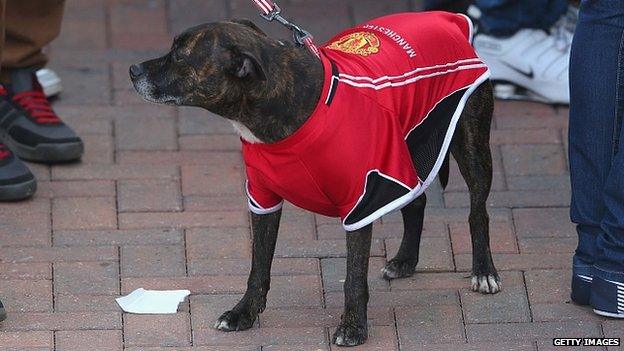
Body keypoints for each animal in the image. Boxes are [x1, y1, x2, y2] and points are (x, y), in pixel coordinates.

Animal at [129, 12, 500, 348]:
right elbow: (258, 267)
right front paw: (243, 313)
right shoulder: (263, 200)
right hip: (407, 152)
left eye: (180, 56)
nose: (133, 71)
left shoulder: (362, 201)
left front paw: (353, 327)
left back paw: (484, 271)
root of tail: (451, 19)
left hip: (471, 145)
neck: (287, 103)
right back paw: (406, 261)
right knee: (416, 199)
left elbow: (353, 277)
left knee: (478, 212)